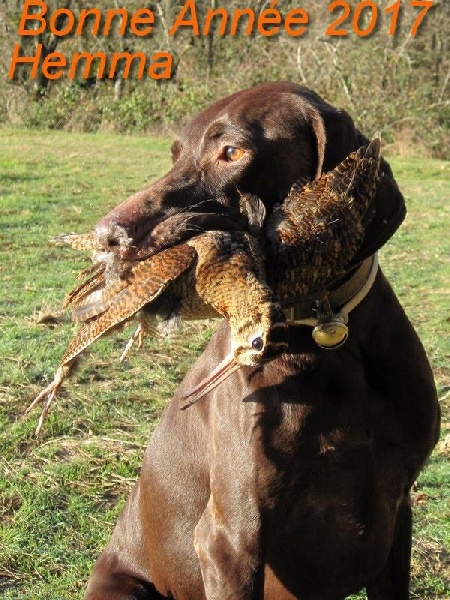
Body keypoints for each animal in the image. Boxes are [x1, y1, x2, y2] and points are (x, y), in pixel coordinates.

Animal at [84, 82, 440, 596]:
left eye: (231, 152)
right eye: (175, 155)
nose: (107, 237)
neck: (327, 331)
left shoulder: (397, 511)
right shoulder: (231, 539)